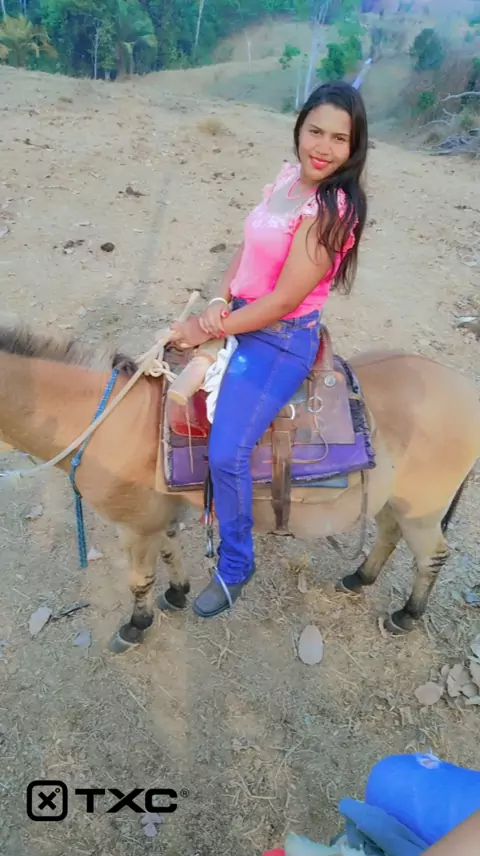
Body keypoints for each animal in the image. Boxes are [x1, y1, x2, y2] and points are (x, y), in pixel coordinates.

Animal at [0, 323, 479, 654]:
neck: (108, 421)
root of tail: (464, 387)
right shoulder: (158, 519)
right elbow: (170, 554)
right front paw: (176, 593)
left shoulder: (135, 527)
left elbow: (139, 580)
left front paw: (136, 626)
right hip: (392, 499)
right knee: (389, 532)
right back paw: (359, 577)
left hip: (423, 510)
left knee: (431, 557)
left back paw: (406, 615)